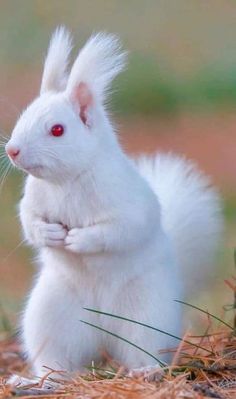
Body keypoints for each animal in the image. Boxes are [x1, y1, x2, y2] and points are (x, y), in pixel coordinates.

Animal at [6, 26, 223, 382]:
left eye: (57, 130)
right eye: (23, 115)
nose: (12, 150)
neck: (68, 180)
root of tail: (102, 334)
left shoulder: (127, 202)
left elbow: (121, 229)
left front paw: (80, 239)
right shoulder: (33, 200)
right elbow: (30, 223)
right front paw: (51, 234)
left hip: (147, 315)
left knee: (145, 351)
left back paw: (145, 372)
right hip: (50, 317)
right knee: (57, 359)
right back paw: (39, 379)